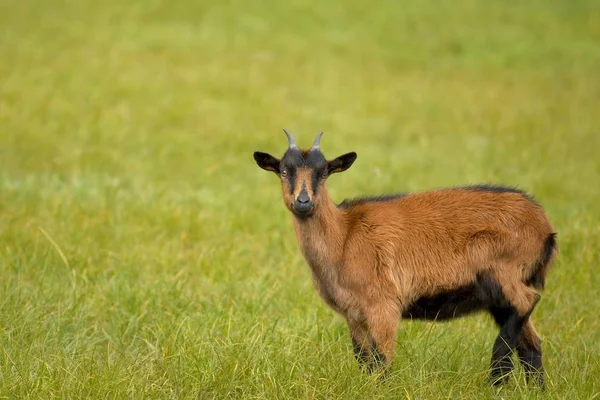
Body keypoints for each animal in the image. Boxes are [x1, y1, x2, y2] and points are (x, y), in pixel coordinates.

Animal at [253, 131, 556, 388]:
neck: (345, 236)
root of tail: (543, 225)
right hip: (496, 294)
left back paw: (497, 375)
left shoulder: (384, 305)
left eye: (323, 172)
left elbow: (381, 361)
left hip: (500, 264)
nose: (303, 202)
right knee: (531, 341)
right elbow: (363, 360)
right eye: (284, 171)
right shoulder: (354, 314)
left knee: (527, 301)